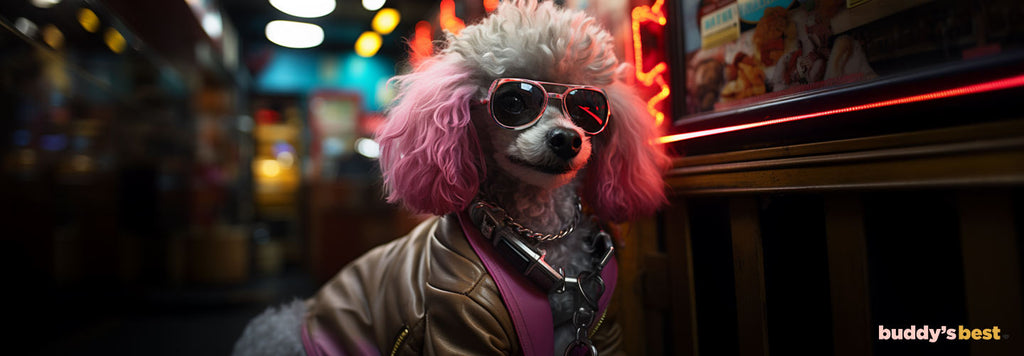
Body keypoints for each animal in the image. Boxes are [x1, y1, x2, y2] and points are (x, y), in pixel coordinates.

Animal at [233, 1, 667, 353]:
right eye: (513, 101)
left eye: (589, 109)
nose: (567, 139)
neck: (542, 242)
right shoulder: (457, 323)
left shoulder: (597, 331)